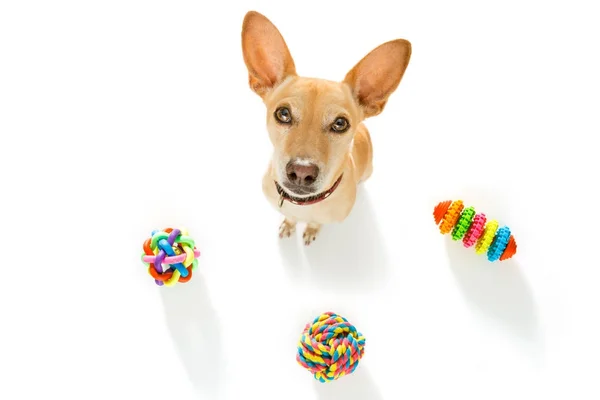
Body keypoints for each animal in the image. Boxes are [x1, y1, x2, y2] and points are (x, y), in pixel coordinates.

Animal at [241, 10, 410, 245]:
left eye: (340, 124)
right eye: (283, 114)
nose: (301, 172)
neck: (302, 205)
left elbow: (315, 223)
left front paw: (311, 230)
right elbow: (289, 217)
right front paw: (288, 224)